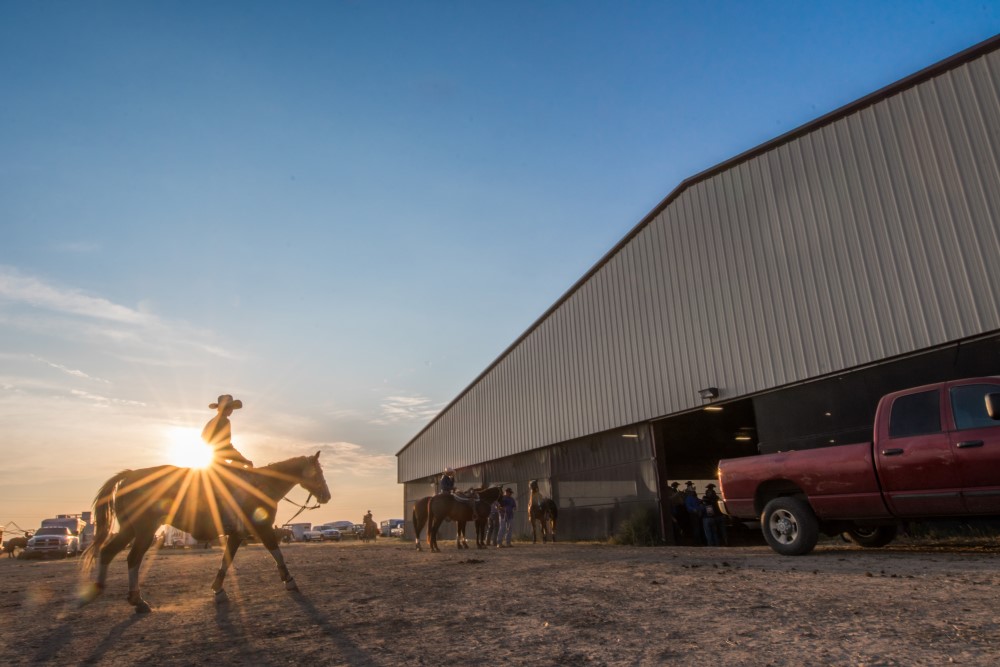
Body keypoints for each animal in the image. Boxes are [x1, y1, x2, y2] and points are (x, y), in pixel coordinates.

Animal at [81, 452, 332, 612]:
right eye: (318, 472)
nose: (327, 496)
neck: (260, 485)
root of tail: (131, 475)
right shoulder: (262, 528)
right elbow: (275, 551)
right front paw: (289, 581)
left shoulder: (237, 534)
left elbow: (227, 559)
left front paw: (218, 590)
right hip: (144, 529)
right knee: (133, 558)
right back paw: (137, 600)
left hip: (129, 529)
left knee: (108, 551)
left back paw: (101, 589)